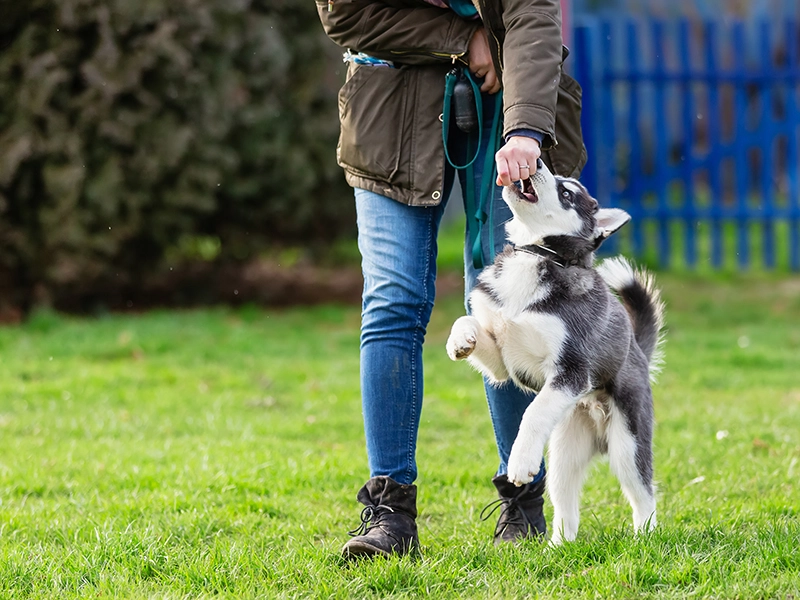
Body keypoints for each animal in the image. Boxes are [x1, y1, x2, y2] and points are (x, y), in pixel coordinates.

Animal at [446, 161, 664, 544]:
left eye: (567, 193)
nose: (534, 161)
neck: (536, 255)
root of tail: (636, 349)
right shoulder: (502, 363)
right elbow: (468, 320)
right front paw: (460, 340)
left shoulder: (572, 371)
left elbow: (532, 414)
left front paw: (520, 462)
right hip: (565, 452)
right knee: (566, 503)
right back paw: (559, 545)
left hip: (628, 443)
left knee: (643, 493)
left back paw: (645, 538)